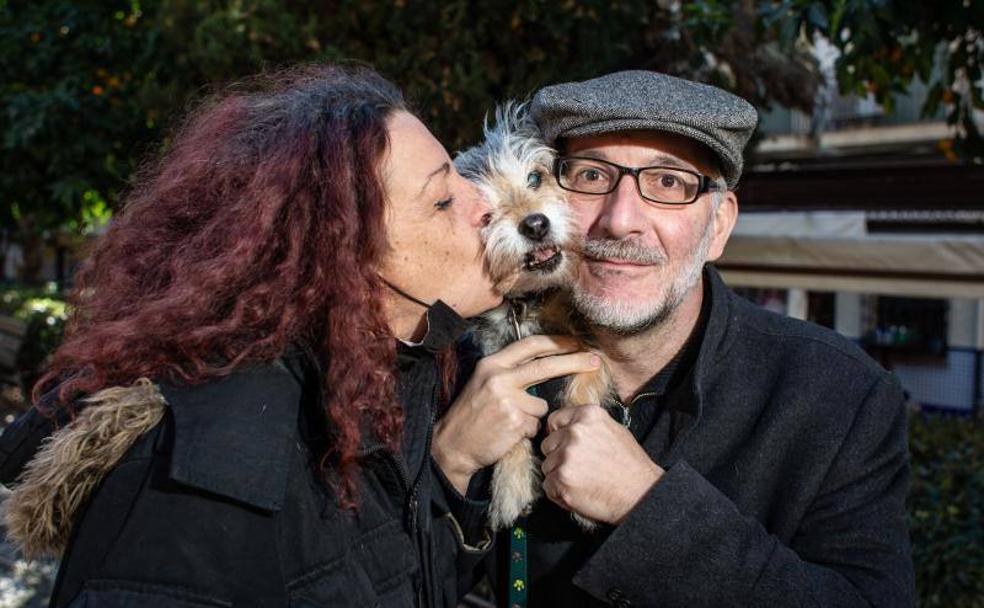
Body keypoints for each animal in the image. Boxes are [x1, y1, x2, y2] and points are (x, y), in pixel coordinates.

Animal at [456, 105, 612, 532]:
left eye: (534, 178)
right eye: (484, 215)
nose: (535, 224)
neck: (530, 301)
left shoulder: (591, 338)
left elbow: (582, 388)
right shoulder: (499, 354)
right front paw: (510, 487)